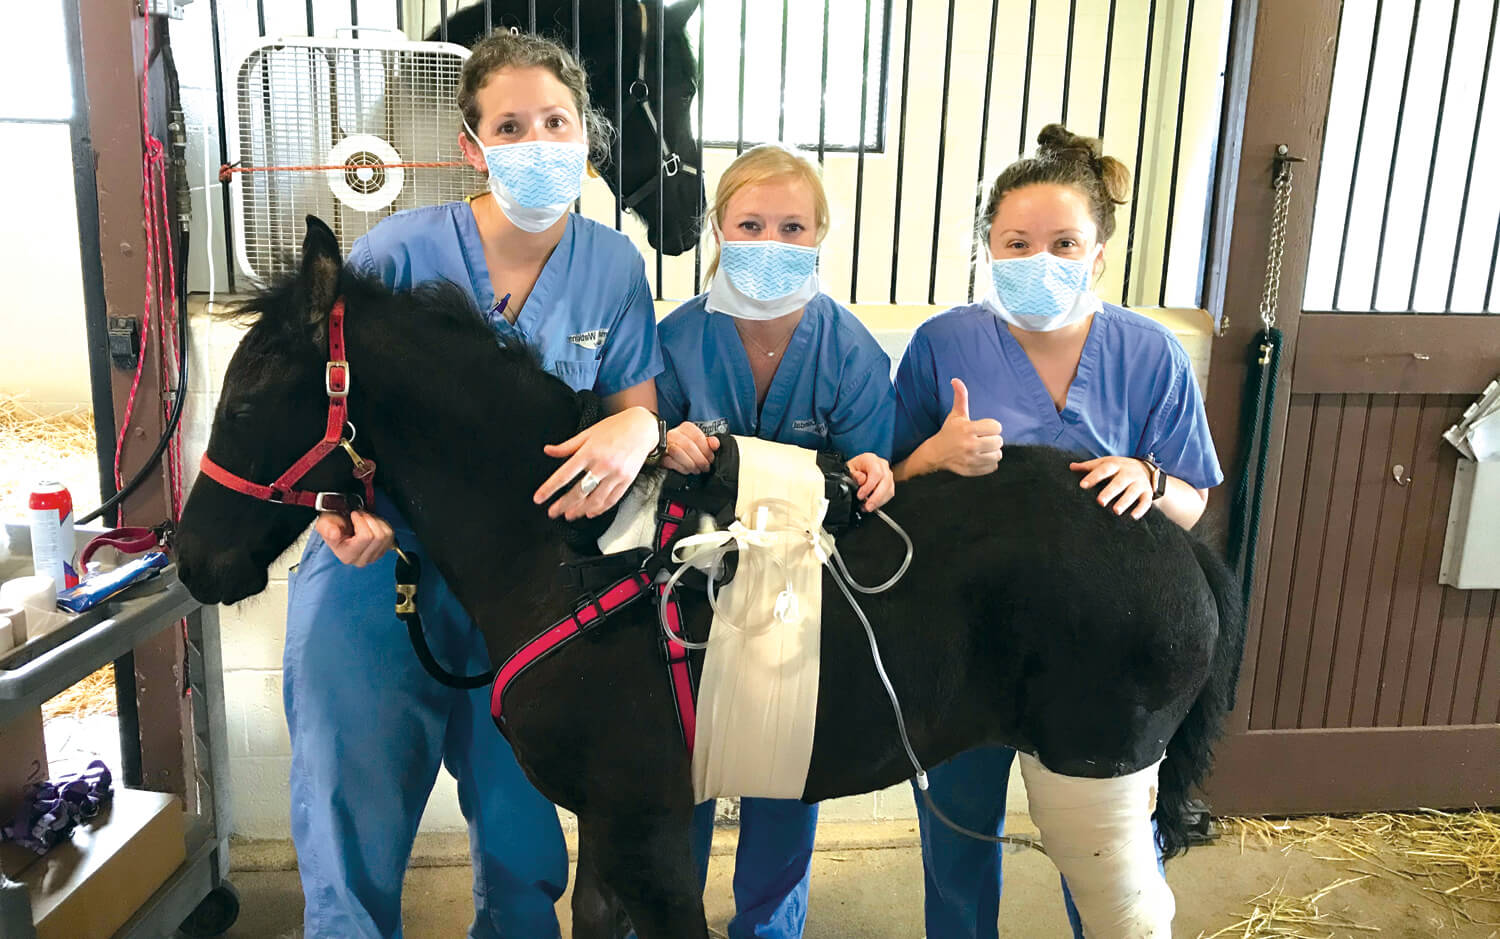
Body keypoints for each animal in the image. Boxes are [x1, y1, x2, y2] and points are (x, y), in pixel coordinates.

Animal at [175, 217, 1248, 930]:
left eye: (251, 393)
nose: (191, 560)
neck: (579, 552)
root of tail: (1165, 530)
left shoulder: (640, 824)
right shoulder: (615, 832)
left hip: (1098, 769)